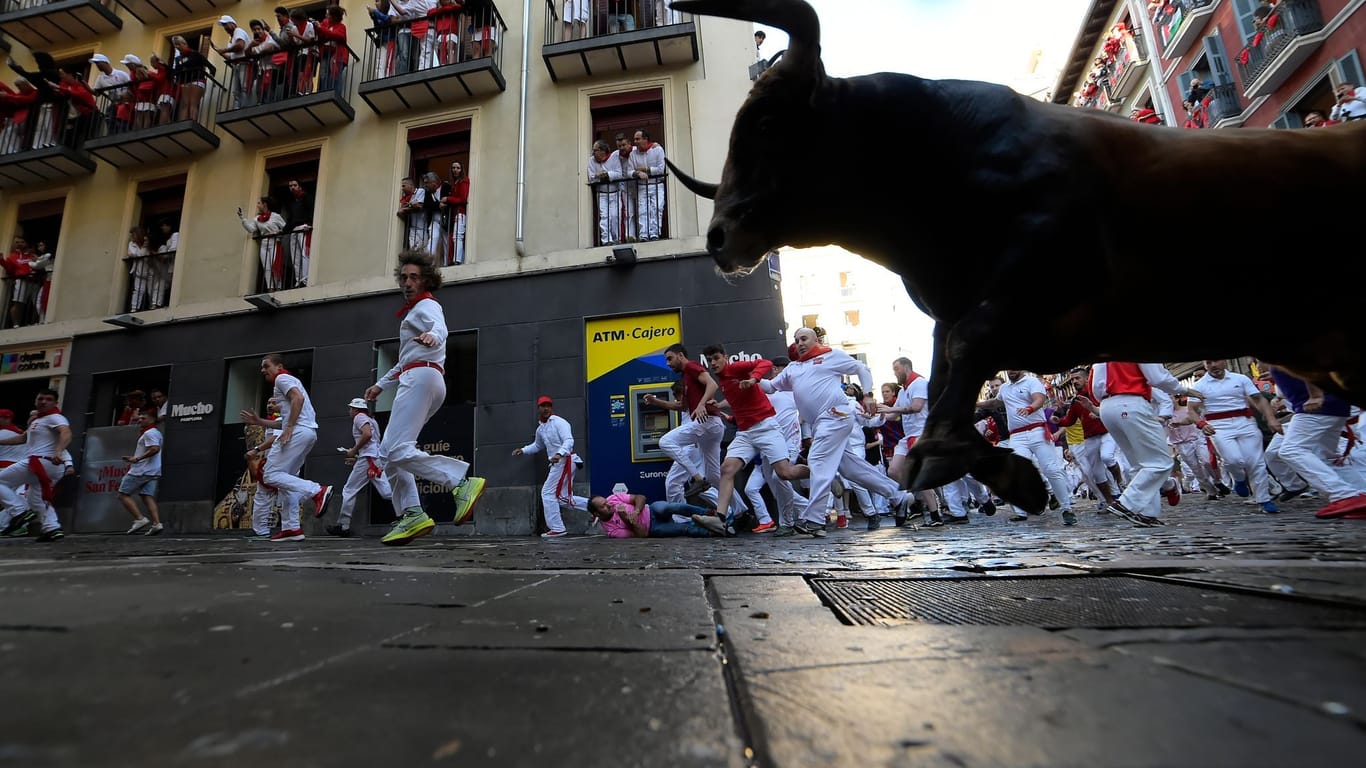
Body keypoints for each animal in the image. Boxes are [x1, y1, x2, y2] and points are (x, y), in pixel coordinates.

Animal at [666, 1, 1366, 513]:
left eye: (766, 123)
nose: (720, 236)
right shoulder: (955, 307)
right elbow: (944, 372)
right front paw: (990, 464)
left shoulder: (1049, 268)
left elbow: (965, 353)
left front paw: (959, 456)